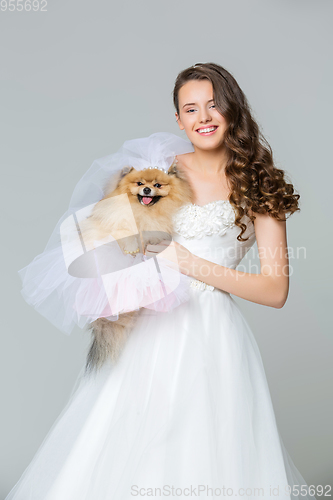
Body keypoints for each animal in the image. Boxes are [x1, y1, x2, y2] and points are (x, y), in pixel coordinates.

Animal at [80, 161, 192, 376]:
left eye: (157, 185)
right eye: (139, 183)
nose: (147, 189)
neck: (143, 213)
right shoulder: (118, 224)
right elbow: (126, 234)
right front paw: (131, 248)